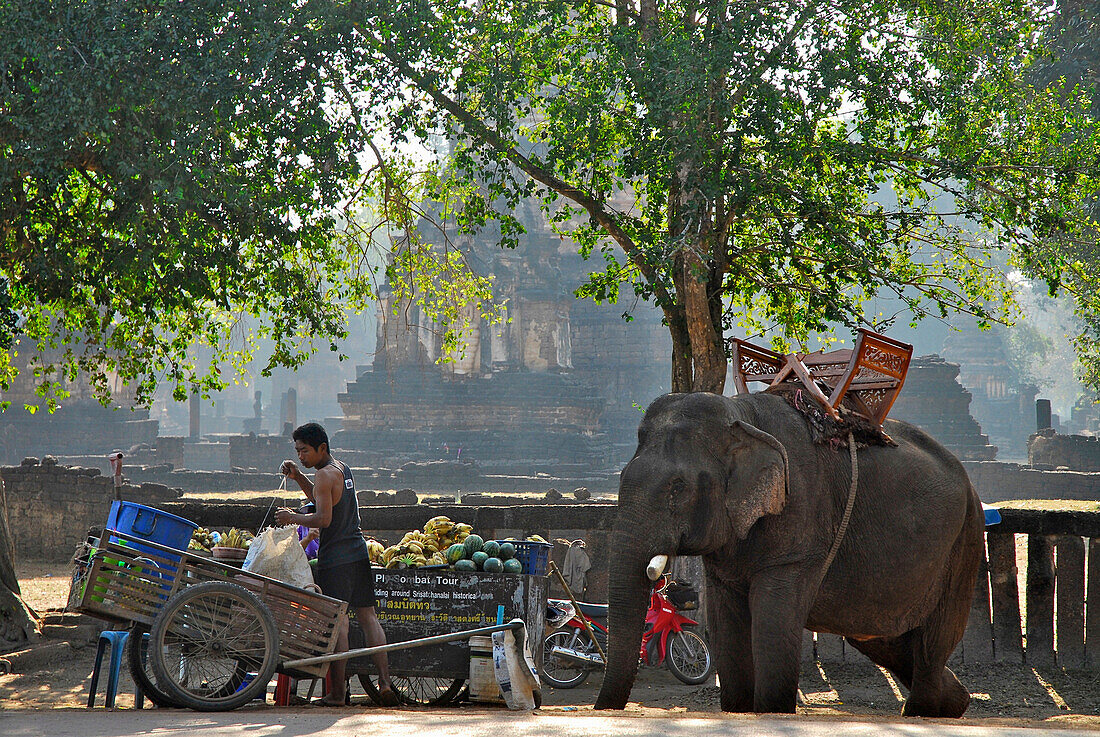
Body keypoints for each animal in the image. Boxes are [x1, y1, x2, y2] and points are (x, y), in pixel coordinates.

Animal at [598, 396, 985, 717]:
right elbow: (726, 621)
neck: (741, 414)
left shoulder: (800, 519)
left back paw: (923, 711)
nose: (601, 710)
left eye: (678, 488)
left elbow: (772, 620)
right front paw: (738, 711)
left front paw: (771, 711)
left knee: (934, 640)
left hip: (965, 538)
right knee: (881, 637)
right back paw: (955, 702)